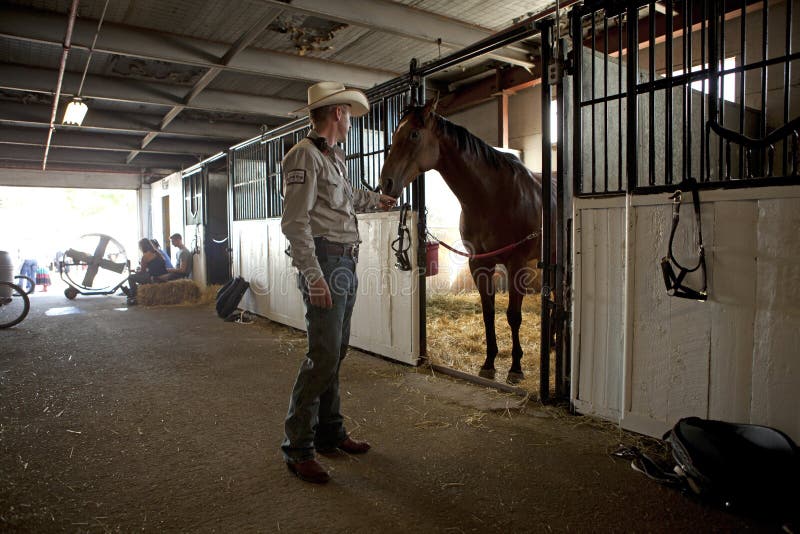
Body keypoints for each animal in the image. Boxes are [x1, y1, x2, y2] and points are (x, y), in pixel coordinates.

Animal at [380, 98, 544, 386]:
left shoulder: (517, 264)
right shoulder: (479, 263)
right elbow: (488, 312)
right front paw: (489, 364)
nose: (385, 183)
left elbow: (513, 316)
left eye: (413, 134)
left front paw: (515, 369)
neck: (494, 196)